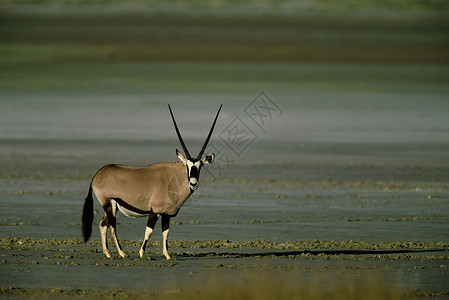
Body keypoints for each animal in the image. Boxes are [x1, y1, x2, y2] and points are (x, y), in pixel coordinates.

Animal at [81, 104, 221, 258]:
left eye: (200, 166)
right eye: (187, 166)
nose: (193, 183)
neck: (173, 180)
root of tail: (97, 175)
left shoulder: (167, 214)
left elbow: (166, 232)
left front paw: (167, 255)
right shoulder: (155, 211)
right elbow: (149, 231)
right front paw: (142, 253)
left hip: (113, 206)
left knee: (103, 224)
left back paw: (108, 254)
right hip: (109, 203)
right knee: (112, 226)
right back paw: (123, 253)